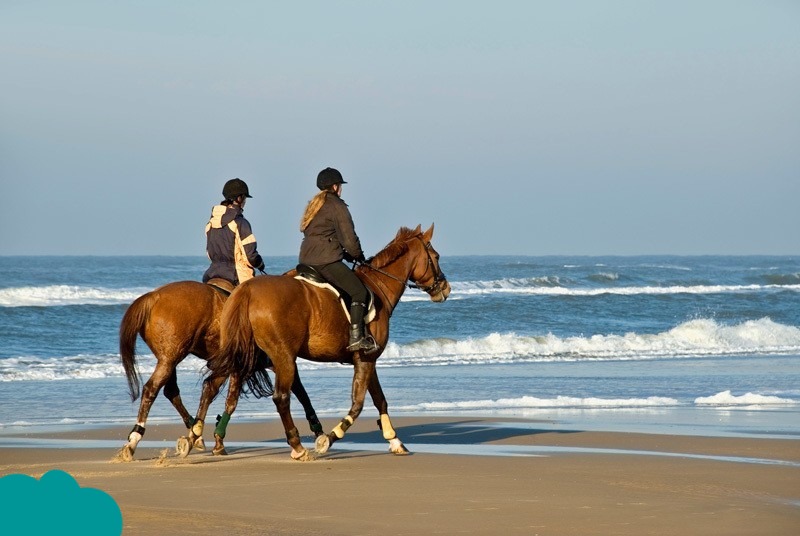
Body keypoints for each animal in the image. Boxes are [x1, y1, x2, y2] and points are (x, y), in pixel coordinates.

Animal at [117, 279, 323, 461]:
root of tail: (153, 296)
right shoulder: (276, 361)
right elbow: (297, 392)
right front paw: (317, 430)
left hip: (169, 358)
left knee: (170, 391)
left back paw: (193, 433)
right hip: (170, 358)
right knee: (152, 389)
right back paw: (135, 439)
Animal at [201, 224, 450, 460]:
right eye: (436, 257)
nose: (445, 288)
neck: (378, 286)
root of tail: (248, 291)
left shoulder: (368, 360)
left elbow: (380, 400)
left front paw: (394, 440)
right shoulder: (366, 359)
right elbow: (358, 404)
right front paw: (328, 439)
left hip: (249, 355)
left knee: (220, 387)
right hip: (282, 357)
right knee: (280, 397)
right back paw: (297, 447)